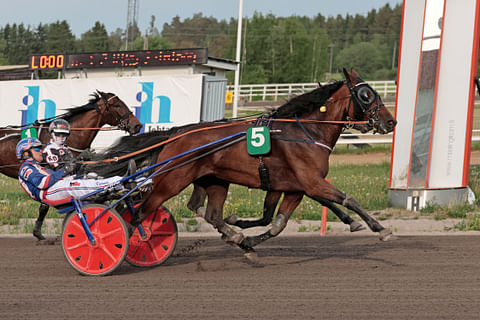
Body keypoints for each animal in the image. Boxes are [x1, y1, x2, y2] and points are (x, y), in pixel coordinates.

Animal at [125, 69, 396, 251]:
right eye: (365, 95)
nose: (391, 121)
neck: (306, 132)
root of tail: (178, 133)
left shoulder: (293, 187)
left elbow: (276, 223)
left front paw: (247, 237)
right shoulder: (311, 182)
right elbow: (349, 199)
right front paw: (380, 229)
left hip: (212, 180)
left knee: (206, 210)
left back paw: (235, 237)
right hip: (171, 181)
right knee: (140, 212)